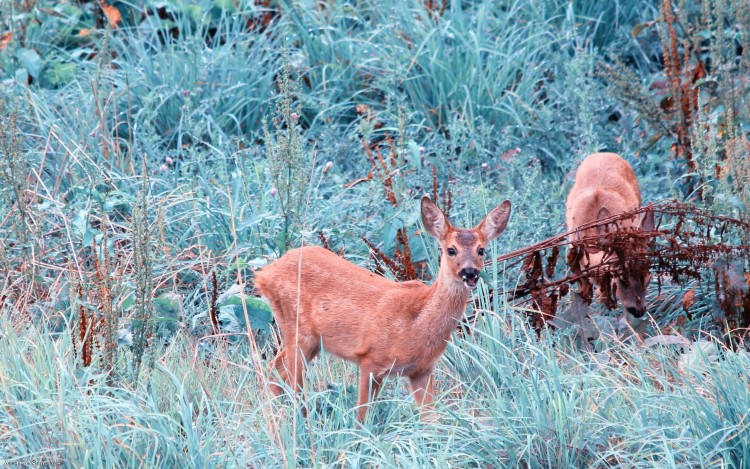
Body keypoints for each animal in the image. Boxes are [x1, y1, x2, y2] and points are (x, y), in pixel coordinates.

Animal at [256, 196, 516, 422]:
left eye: (481, 250)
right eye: (451, 250)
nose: (470, 273)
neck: (416, 324)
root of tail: (264, 274)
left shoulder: (422, 370)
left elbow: (431, 421)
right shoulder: (370, 358)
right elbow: (362, 416)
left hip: (310, 341)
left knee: (275, 372)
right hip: (298, 331)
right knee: (289, 380)